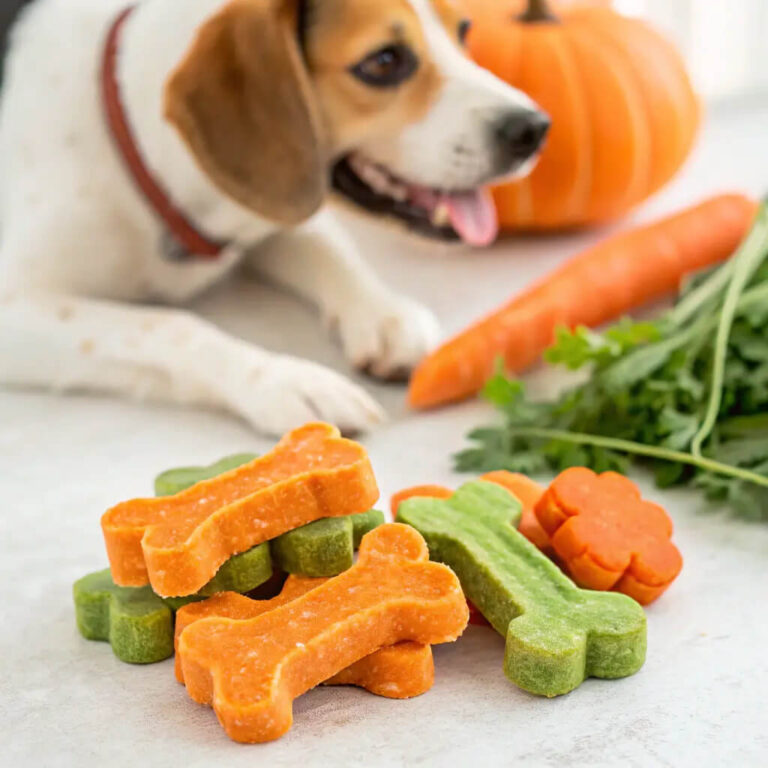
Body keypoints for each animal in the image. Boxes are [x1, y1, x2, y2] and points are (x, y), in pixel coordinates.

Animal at [1, 0, 552, 436]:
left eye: (465, 30)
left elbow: (327, 247)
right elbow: (170, 325)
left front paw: (384, 316)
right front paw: (288, 379)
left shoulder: (276, 208)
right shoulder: (16, 306)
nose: (534, 128)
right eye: (384, 61)